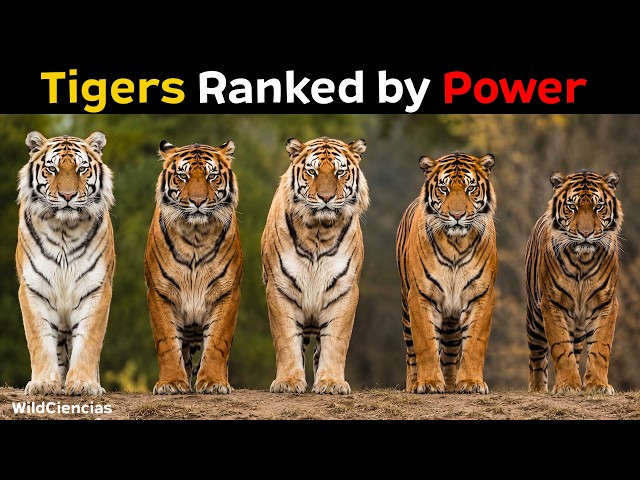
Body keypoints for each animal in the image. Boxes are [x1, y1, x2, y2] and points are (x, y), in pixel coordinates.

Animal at [16, 131, 115, 397]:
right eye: (52, 168)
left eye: (82, 169)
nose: (68, 197)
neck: (63, 229)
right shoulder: (33, 289)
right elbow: (39, 340)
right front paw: (43, 384)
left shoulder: (96, 289)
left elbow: (88, 340)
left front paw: (84, 384)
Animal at [144, 139, 242, 395]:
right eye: (183, 176)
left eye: (212, 176)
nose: (198, 202)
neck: (196, 236)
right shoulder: (159, 293)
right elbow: (167, 343)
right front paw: (171, 383)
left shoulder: (227, 293)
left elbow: (218, 342)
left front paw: (214, 382)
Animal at [261, 136, 370, 395]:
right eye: (312, 171)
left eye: (340, 172)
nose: (326, 198)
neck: (319, 232)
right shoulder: (280, 288)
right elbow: (286, 339)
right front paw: (288, 382)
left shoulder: (344, 290)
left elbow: (336, 340)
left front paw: (331, 382)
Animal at [396, 151, 498, 394]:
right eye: (444, 188)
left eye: (471, 188)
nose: (457, 215)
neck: (455, 245)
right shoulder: (420, 295)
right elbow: (425, 342)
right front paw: (429, 383)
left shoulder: (482, 295)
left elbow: (474, 342)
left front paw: (471, 383)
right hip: (405, 307)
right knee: (411, 351)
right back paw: (413, 384)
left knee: (451, 351)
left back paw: (452, 384)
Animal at [526, 169, 623, 395]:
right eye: (572, 207)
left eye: (598, 206)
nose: (586, 234)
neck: (583, 261)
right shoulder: (551, 304)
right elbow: (561, 347)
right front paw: (568, 385)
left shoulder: (607, 303)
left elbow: (600, 347)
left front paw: (597, 385)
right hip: (535, 318)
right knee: (537, 355)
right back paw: (537, 389)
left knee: (576, 350)